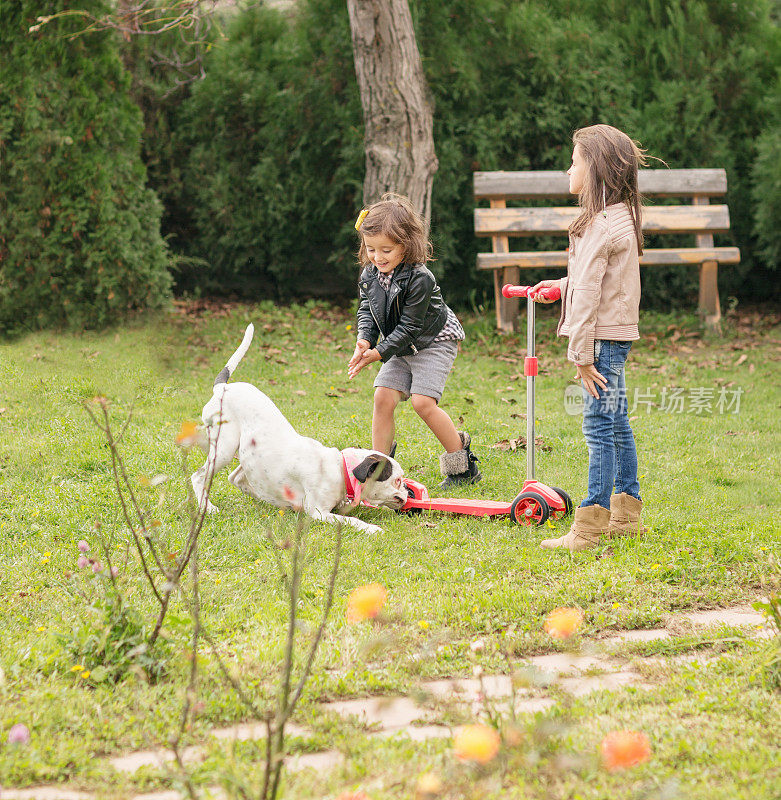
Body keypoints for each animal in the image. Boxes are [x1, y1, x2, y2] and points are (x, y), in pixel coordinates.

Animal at [192, 322, 408, 536]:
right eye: (397, 480)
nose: (407, 488)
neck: (342, 469)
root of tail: (221, 388)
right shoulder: (319, 512)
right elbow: (351, 520)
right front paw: (371, 527)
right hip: (223, 449)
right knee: (200, 476)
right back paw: (207, 507)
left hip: (250, 456)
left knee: (236, 477)